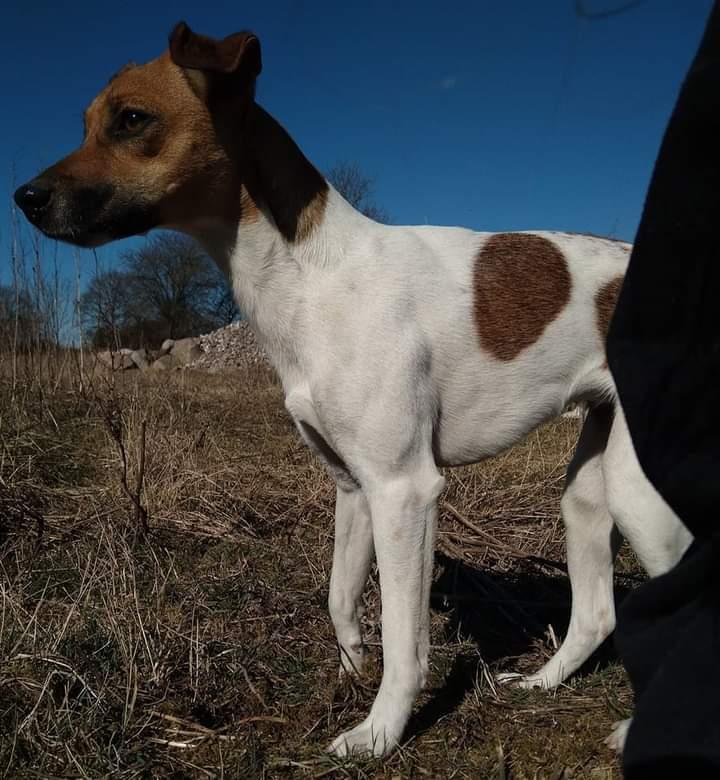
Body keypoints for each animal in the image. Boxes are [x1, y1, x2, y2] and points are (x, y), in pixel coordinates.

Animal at [14, 22, 692, 756]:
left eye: (132, 119)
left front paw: (379, 732)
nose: (24, 197)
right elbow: (341, 594)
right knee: (595, 612)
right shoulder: (353, 487)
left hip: (643, 499)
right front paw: (351, 665)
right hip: (591, 491)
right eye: (86, 123)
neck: (313, 272)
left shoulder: (404, 489)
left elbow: (405, 638)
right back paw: (543, 683)